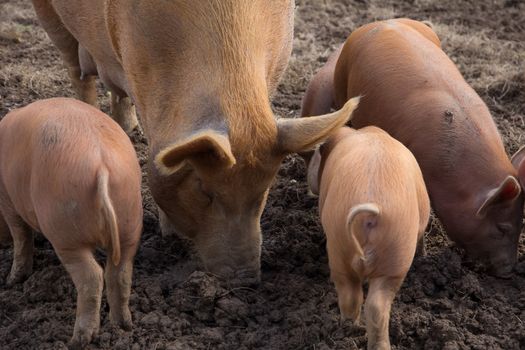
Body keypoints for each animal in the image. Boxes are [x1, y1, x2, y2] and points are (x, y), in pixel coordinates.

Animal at [0, 98, 143, 348]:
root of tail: (101, 164)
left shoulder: (8, 201)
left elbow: (21, 238)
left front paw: (11, 281)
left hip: (65, 232)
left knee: (92, 277)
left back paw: (77, 341)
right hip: (130, 221)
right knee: (120, 273)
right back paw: (123, 327)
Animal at [30, 0, 354, 284]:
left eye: (264, 189)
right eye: (203, 189)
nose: (244, 280)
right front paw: (169, 233)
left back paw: (125, 127)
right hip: (49, 16)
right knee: (77, 70)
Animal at [308, 126, 430, 350]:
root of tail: (370, 210)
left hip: (339, 244)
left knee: (351, 296)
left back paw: (349, 331)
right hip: (396, 256)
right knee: (376, 306)